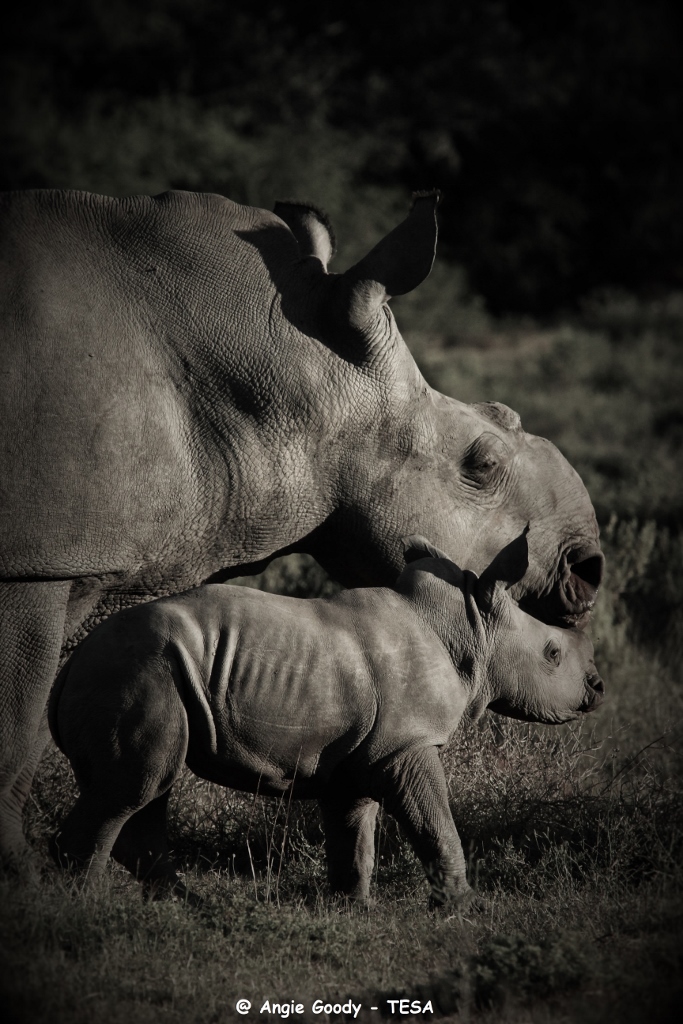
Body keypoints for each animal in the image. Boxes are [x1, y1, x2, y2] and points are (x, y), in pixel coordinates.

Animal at [0, 186, 602, 864]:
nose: (588, 569)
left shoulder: (69, 555)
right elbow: (14, 736)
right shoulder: (31, 561)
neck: (286, 360)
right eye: (484, 465)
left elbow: (27, 736)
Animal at [49, 532, 602, 909]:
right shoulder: (406, 745)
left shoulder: (362, 755)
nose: (597, 689)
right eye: (553, 654)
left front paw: (352, 906)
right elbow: (434, 822)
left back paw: (182, 904)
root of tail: (69, 666)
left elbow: (353, 833)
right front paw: (463, 908)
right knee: (133, 788)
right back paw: (83, 907)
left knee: (146, 789)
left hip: (148, 670)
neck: (468, 630)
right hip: (138, 670)